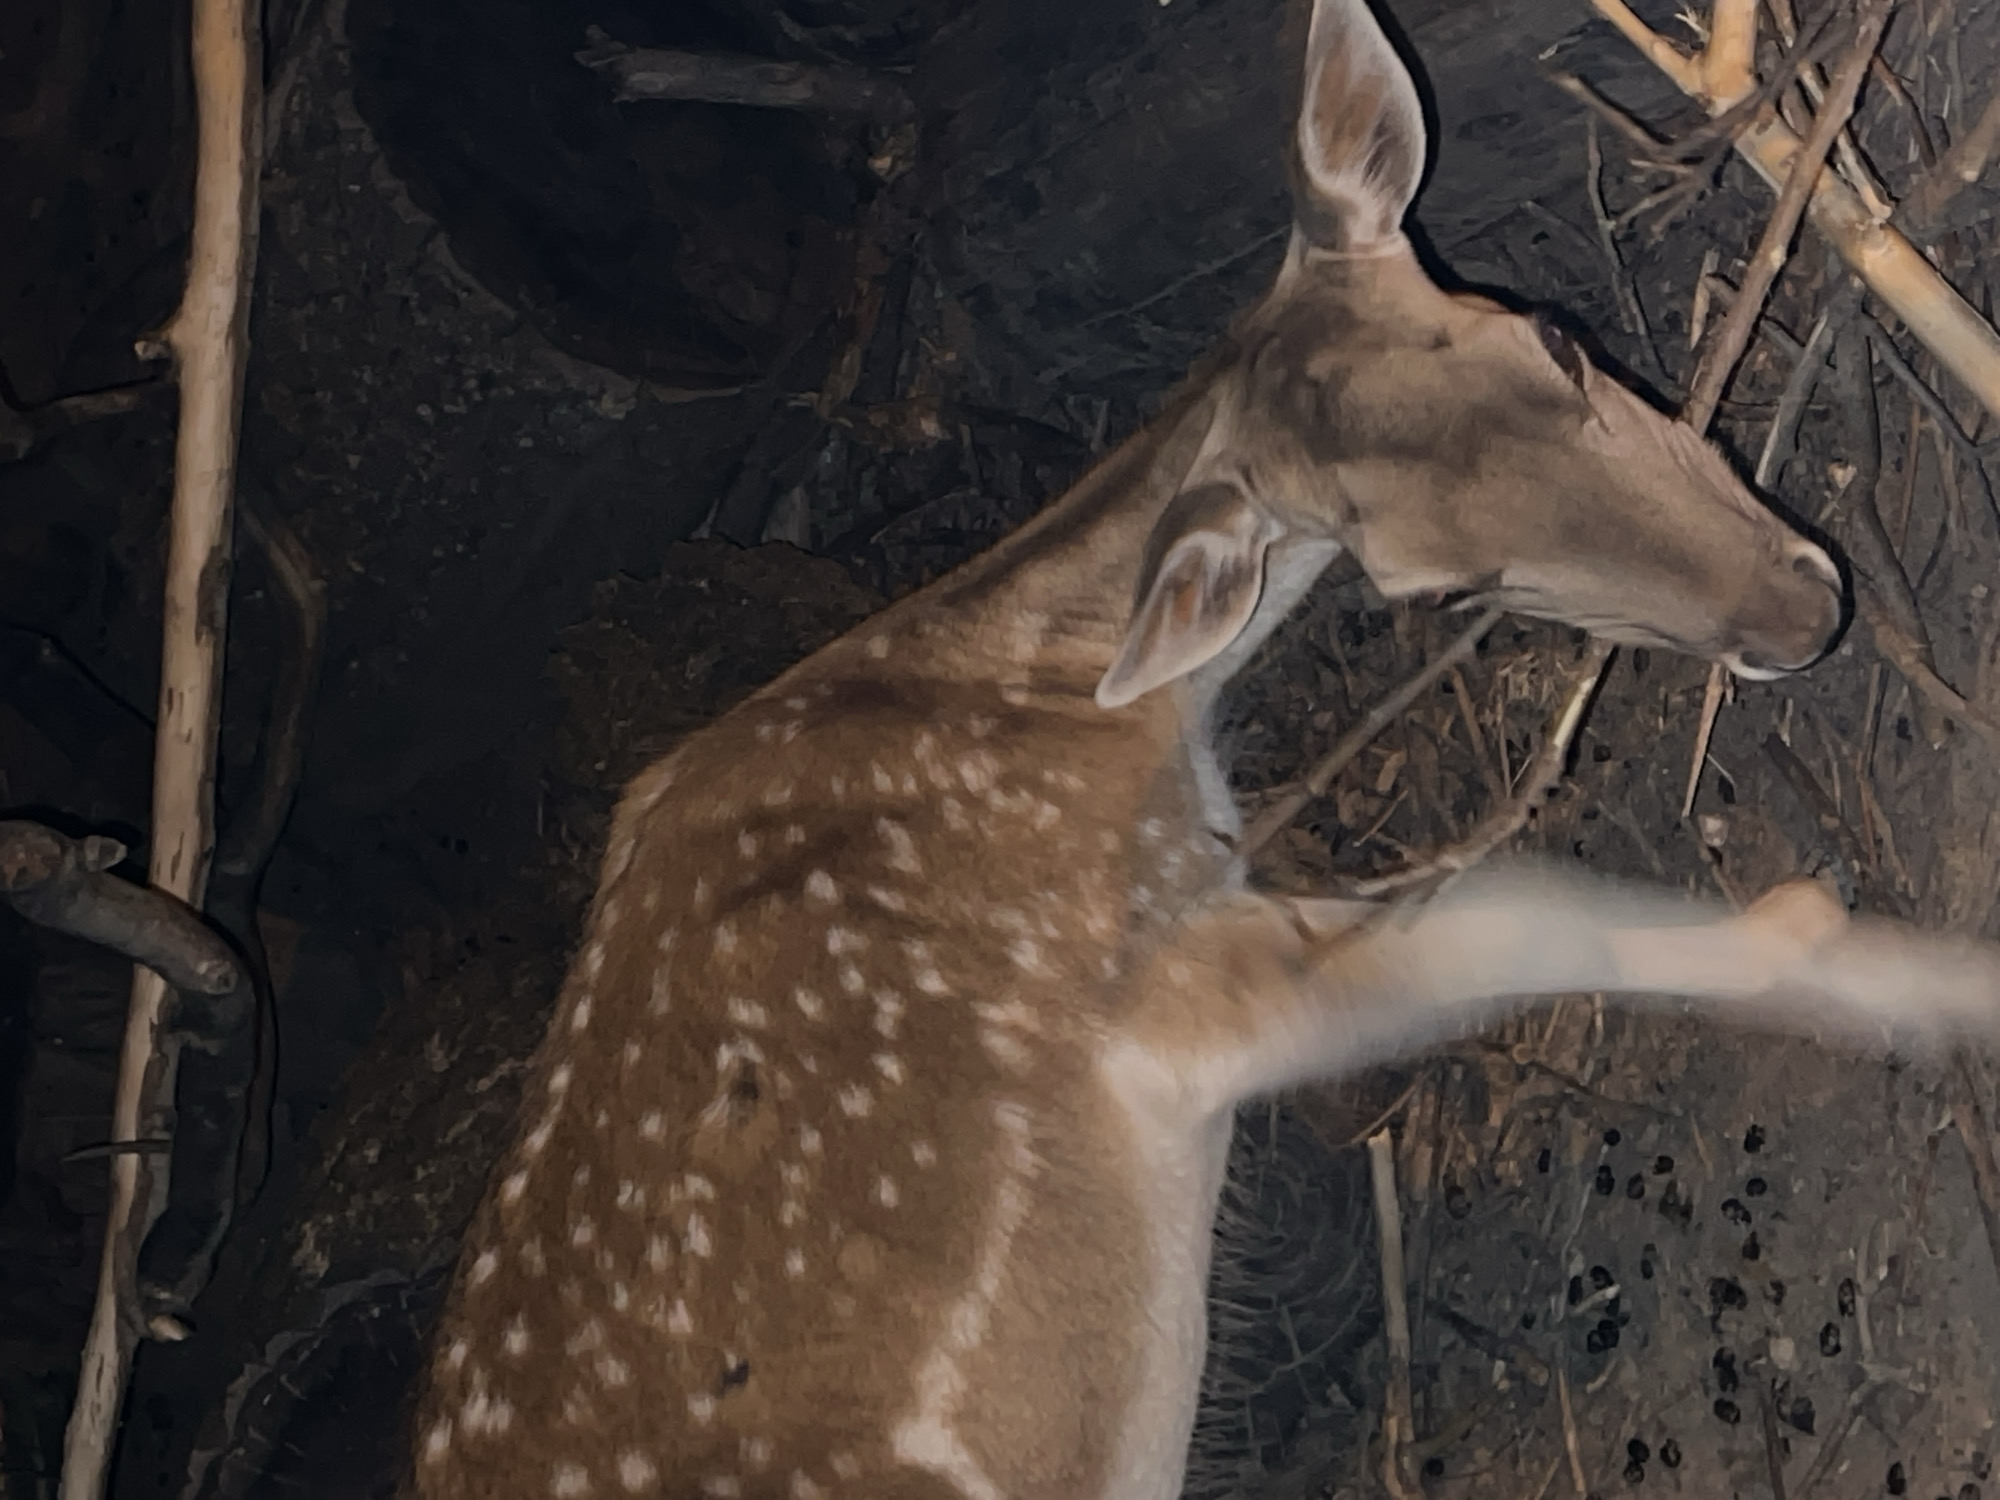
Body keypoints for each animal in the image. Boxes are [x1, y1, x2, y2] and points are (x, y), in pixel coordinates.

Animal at [406, 0, 2000, 1496]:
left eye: (1552, 340)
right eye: (1438, 587)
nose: (1801, 608)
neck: (1070, 699)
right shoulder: (1163, 1004)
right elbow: (1528, 915)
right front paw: (1922, 983)